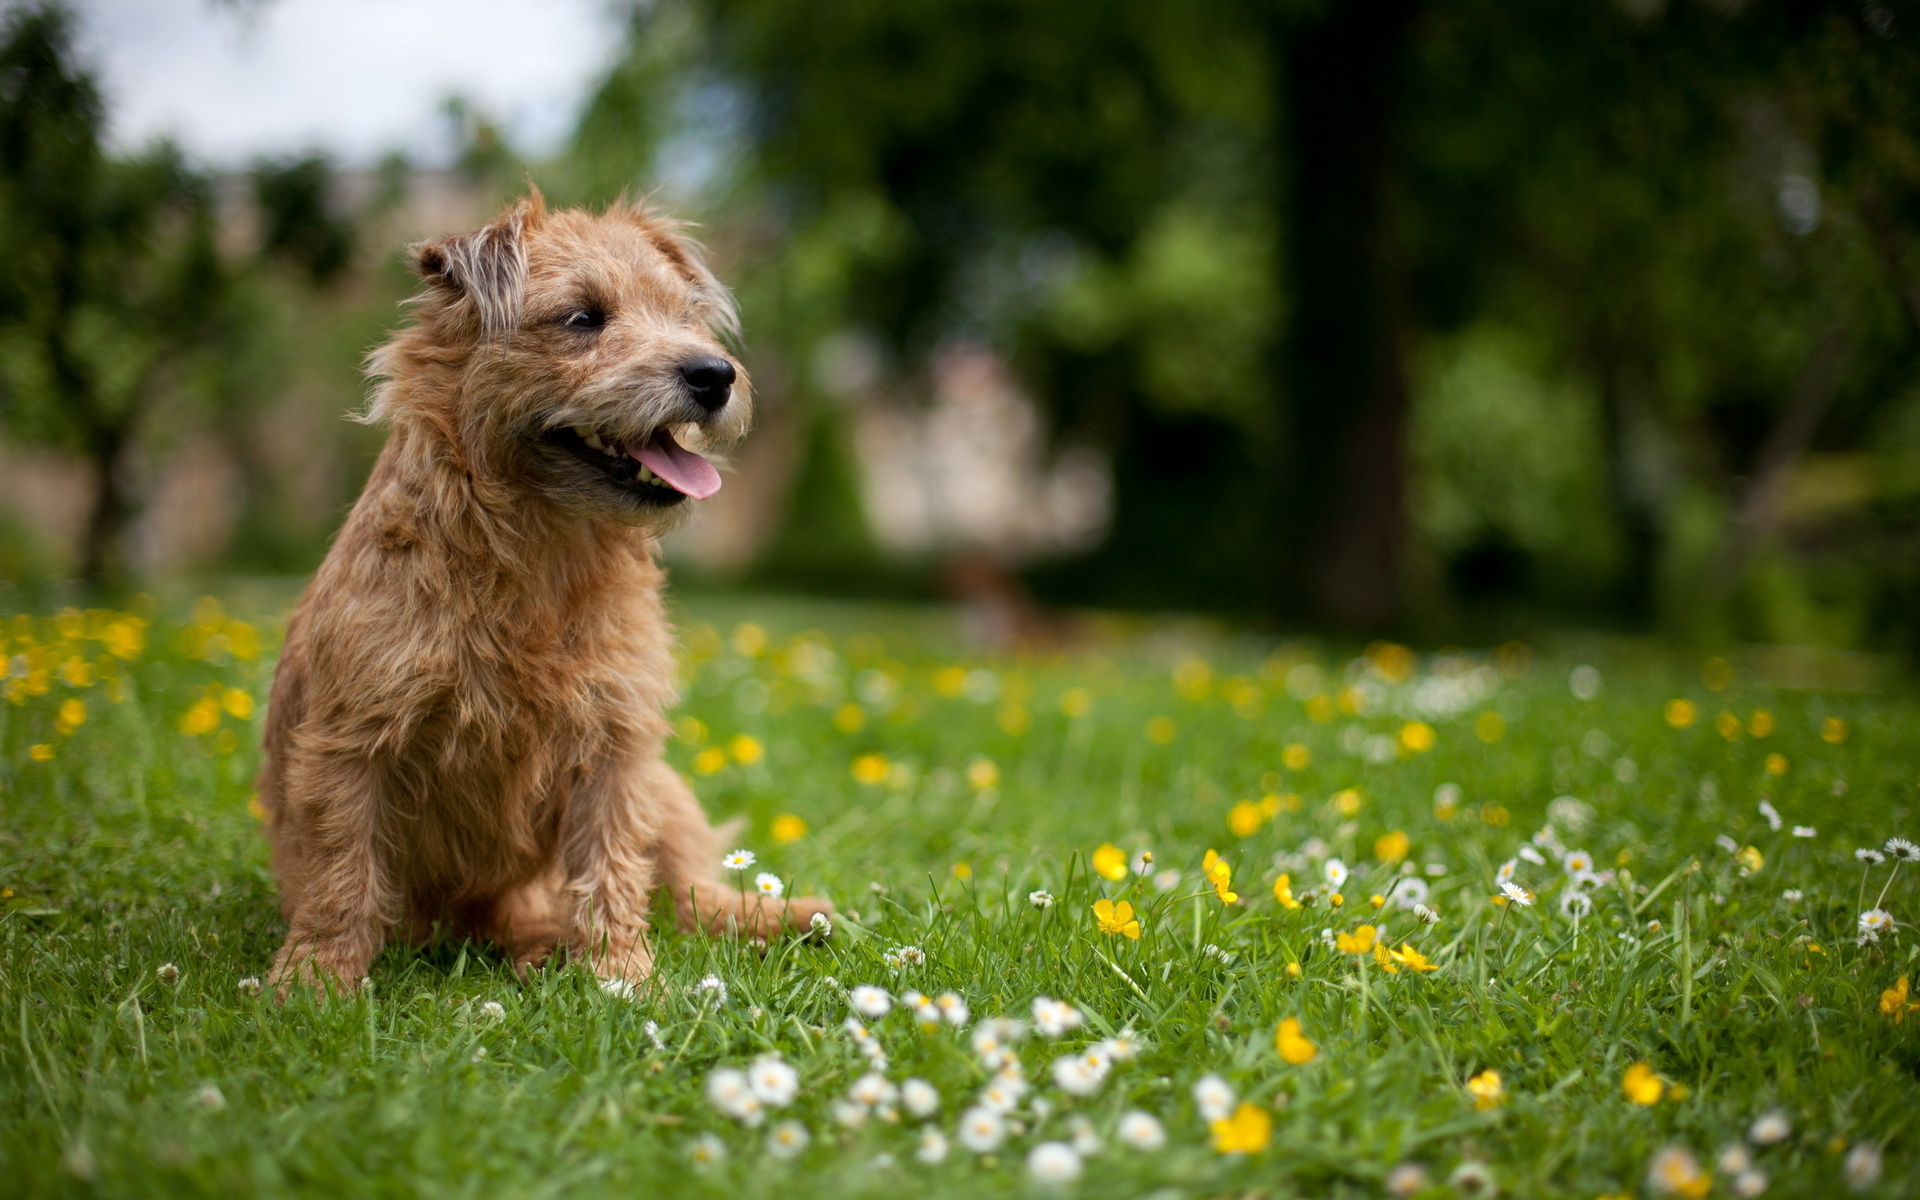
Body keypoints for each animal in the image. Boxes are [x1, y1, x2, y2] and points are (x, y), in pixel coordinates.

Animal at [257, 189, 825, 990]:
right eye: (583, 318)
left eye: (686, 315)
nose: (715, 374)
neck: (539, 559)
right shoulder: (351, 744)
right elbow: (342, 871)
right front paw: (315, 979)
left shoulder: (615, 747)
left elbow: (612, 868)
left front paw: (623, 974)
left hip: (666, 787)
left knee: (690, 892)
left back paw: (788, 916)